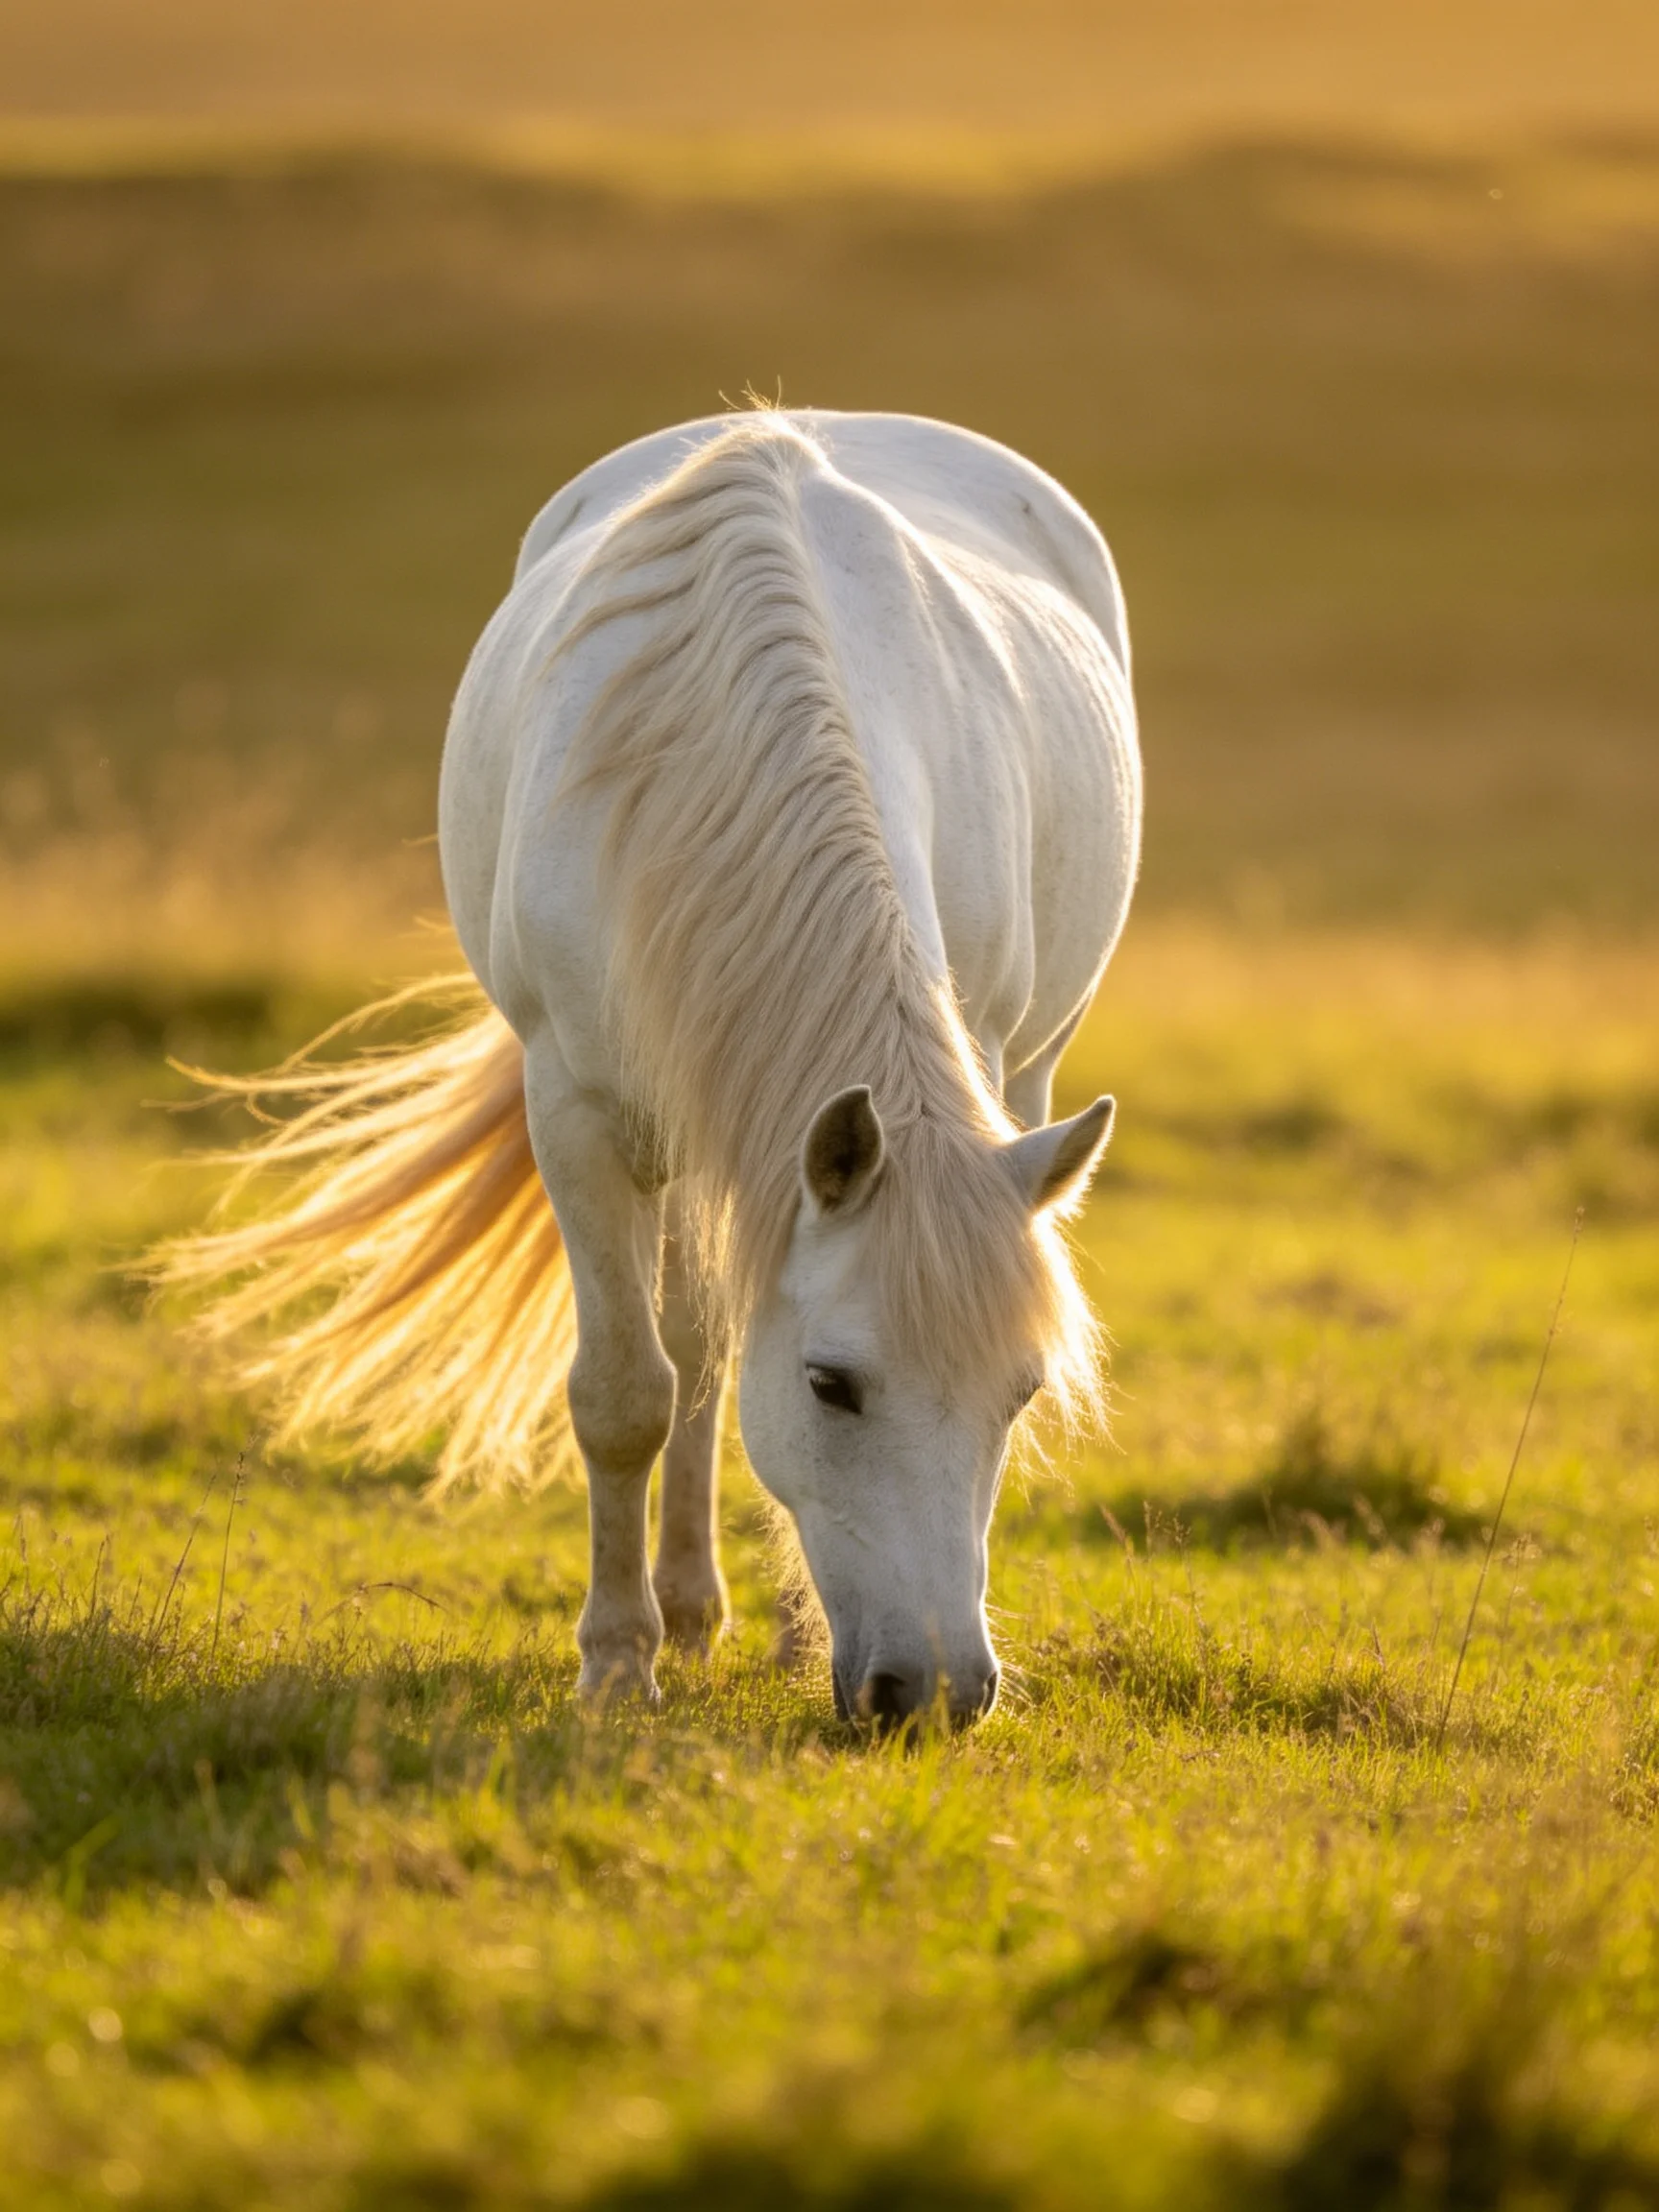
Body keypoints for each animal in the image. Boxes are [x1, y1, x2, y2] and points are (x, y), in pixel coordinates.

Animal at [162, 410, 1141, 1729]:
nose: (936, 1693)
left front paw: (755, 1633)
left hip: (1023, 1073)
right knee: (691, 1349)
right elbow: (628, 1394)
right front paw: (620, 1663)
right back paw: (683, 1614)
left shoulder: (965, 1064)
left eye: (1024, 1391)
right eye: (832, 1385)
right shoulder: (574, 1112)